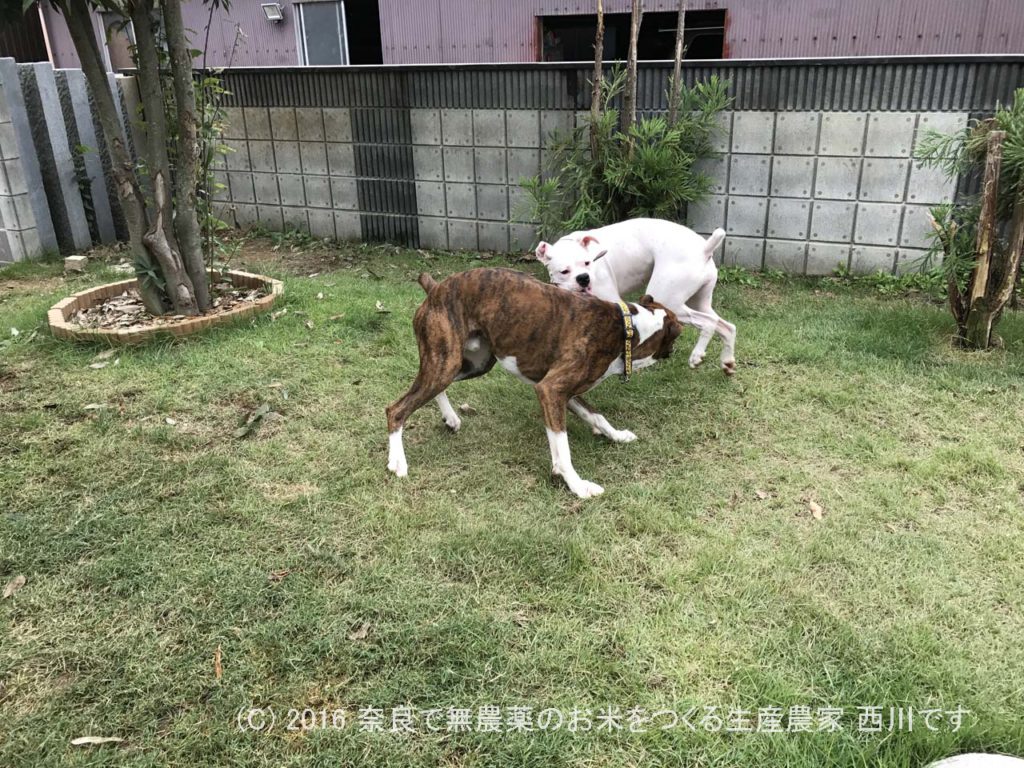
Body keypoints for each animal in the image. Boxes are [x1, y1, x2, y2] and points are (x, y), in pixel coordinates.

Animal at [385, 268, 679, 499]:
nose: (674, 351)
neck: (626, 329)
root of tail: (435, 288)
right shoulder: (551, 390)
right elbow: (563, 447)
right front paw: (577, 485)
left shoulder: (566, 394)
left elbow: (596, 416)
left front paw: (616, 436)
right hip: (444, 362)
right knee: (396, 409)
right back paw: (397, 461)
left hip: (467, 363)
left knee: (435, 389)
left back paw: (450, 418)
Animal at [536, 218, 737, 374]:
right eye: (564, 271)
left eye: (587, 263)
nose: (584, 278)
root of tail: (704, 249)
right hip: (700, 301)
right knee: (727, 326)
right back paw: (727, 362)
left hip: (670, 303)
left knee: (709, 323)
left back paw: (696, 355)